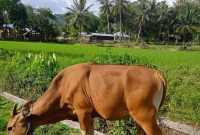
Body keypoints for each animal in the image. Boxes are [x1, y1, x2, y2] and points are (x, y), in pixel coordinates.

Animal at [7, 62, 166, 135]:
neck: (63, 86)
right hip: (138, 117)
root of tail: (156, 73)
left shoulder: (82, 112)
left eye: (10, 127)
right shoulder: (90, 115)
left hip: (145, 116)